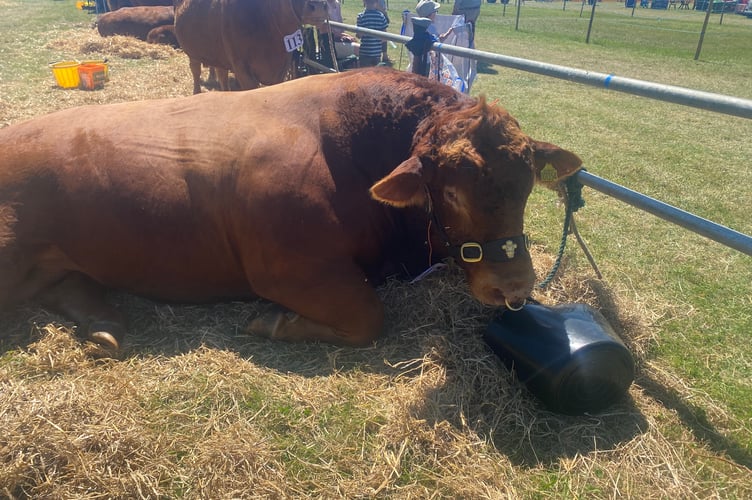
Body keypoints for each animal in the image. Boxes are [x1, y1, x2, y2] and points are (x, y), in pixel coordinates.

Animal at [0, 69, 582, 354]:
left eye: (527, 188)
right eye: (453, 193)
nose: (513, 284)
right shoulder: (288, 269)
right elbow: (368, 317)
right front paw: (273, 322)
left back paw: (104, 326)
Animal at [174, 0, 330, 94]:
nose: (319, 7)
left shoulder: (283, 66)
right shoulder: (241, 68)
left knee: (222, 76)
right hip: (192, 53)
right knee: (196, 71)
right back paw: (196, 92)